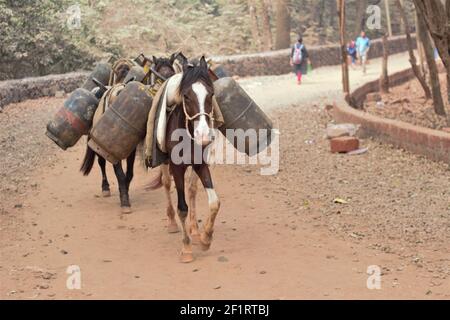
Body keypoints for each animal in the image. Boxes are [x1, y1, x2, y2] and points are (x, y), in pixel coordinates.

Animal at [81, 56, 177, 214]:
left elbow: (129, 173)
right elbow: (119, 174)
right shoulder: (111, 150)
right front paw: (125, 201)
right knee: (101, 163)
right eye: (158, 73)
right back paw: (105, 187)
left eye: (172, 71)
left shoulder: (130, 149)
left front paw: (125, 189)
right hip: (98, 145)